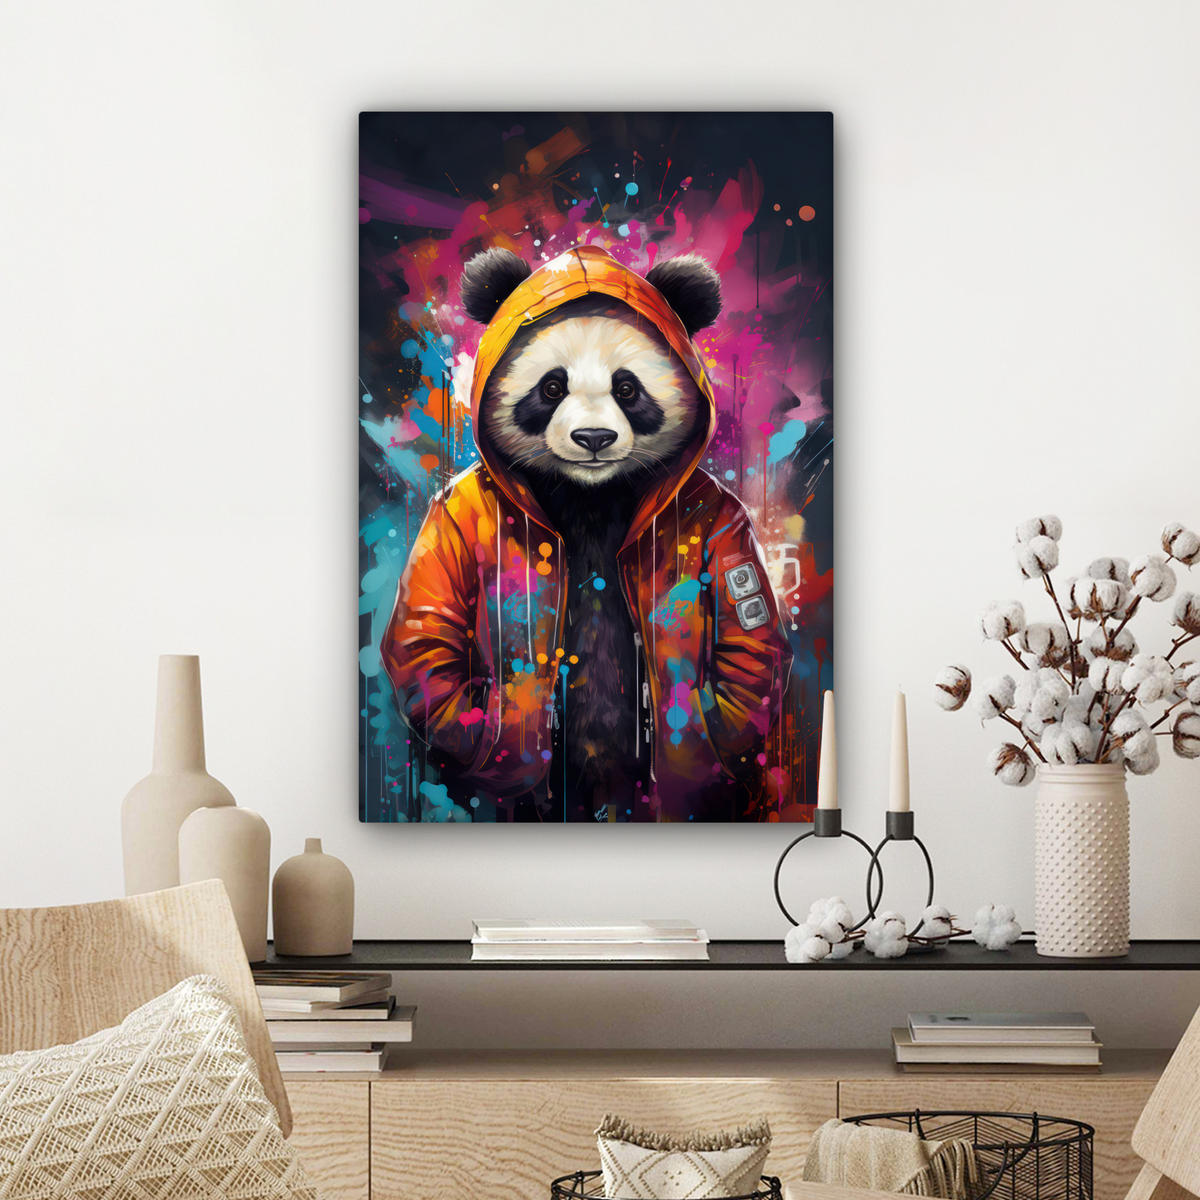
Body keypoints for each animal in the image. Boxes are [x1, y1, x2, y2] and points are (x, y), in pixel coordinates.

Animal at [383, 244, 789, 821]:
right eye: (552, 387)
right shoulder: (454, 514)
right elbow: (431, 630)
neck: (589, 494)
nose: (593, 438)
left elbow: (745, 643)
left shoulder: (720, 513)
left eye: (627, 388)